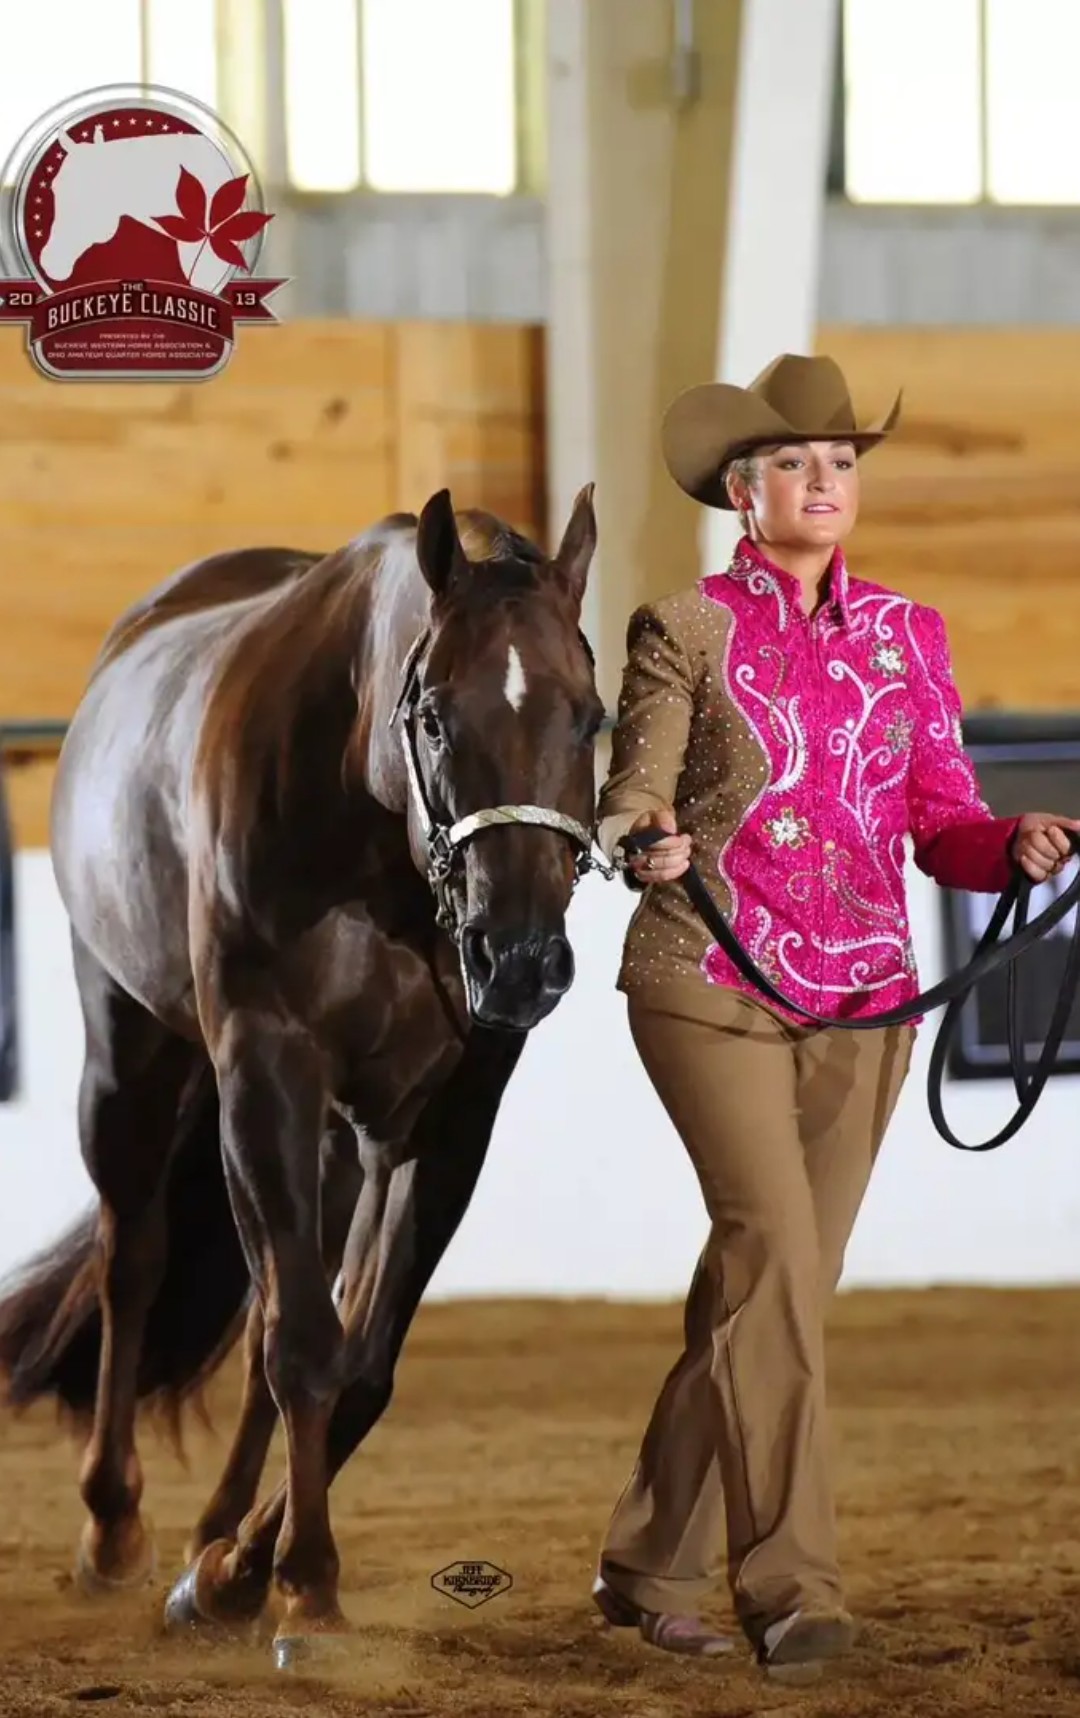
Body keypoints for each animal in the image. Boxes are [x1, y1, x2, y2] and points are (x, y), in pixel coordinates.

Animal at [0, 486, 603, 1668]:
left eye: (589, 716)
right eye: (435, 717)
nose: (519, 958)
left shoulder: (445, 1115)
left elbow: (355, 1355)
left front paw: (242, 1569)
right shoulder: (262, 1070)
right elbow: (302, 1342)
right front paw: (302, 1588)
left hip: (332, 1135)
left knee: (272, 1312)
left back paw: (214, 1534)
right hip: (128, 1057)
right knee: (133, 1261)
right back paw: (114, 1526)